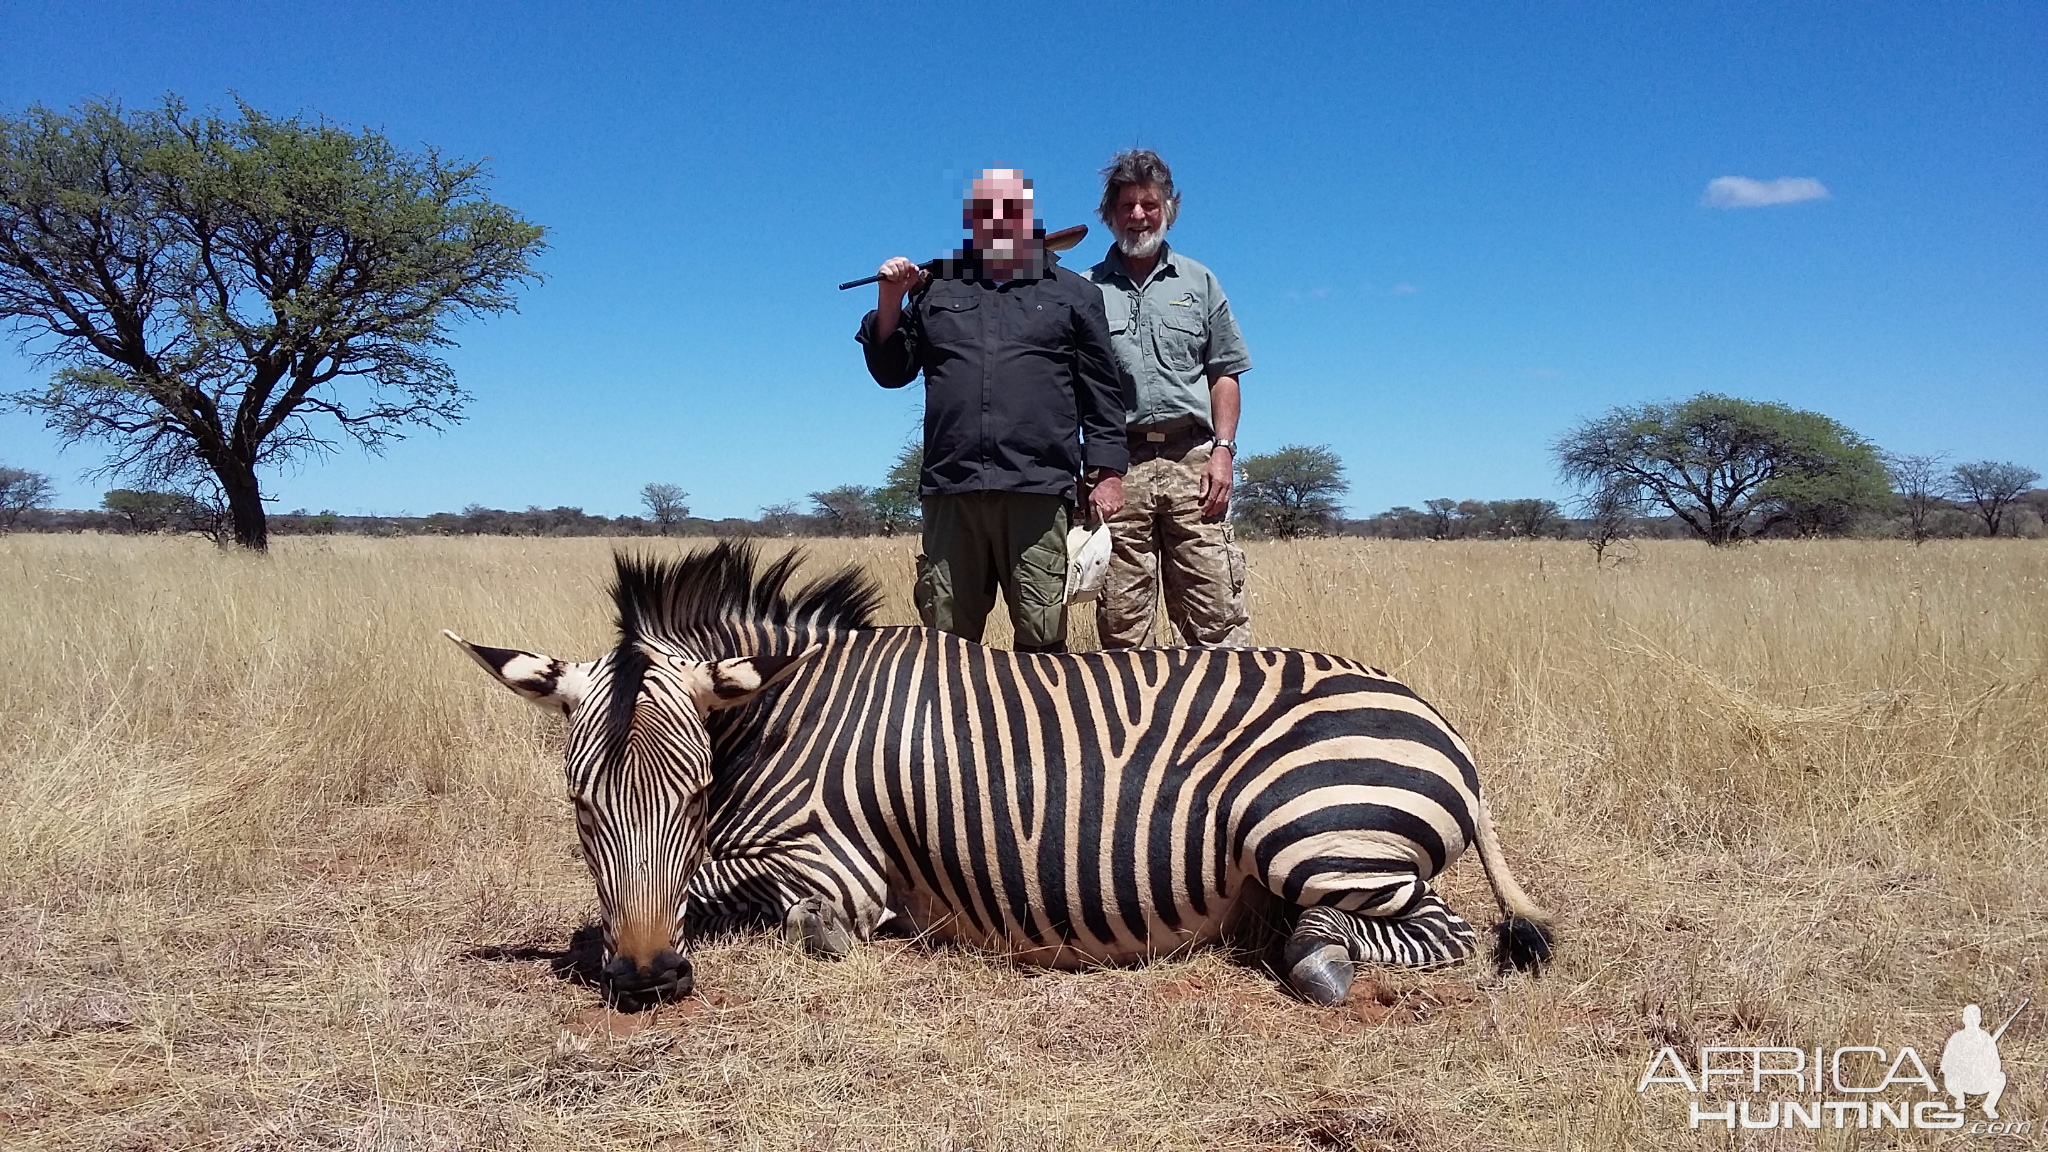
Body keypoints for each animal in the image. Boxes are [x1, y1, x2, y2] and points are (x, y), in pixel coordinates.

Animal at [448, 541, 1548, 1004]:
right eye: (580, 807)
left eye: (691, 795)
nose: (647, 979)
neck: (784, 714)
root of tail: (1435, 720)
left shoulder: (838, 867)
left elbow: (765, 906)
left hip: (1311, 831)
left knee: (1437, 931)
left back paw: (1316, 954)